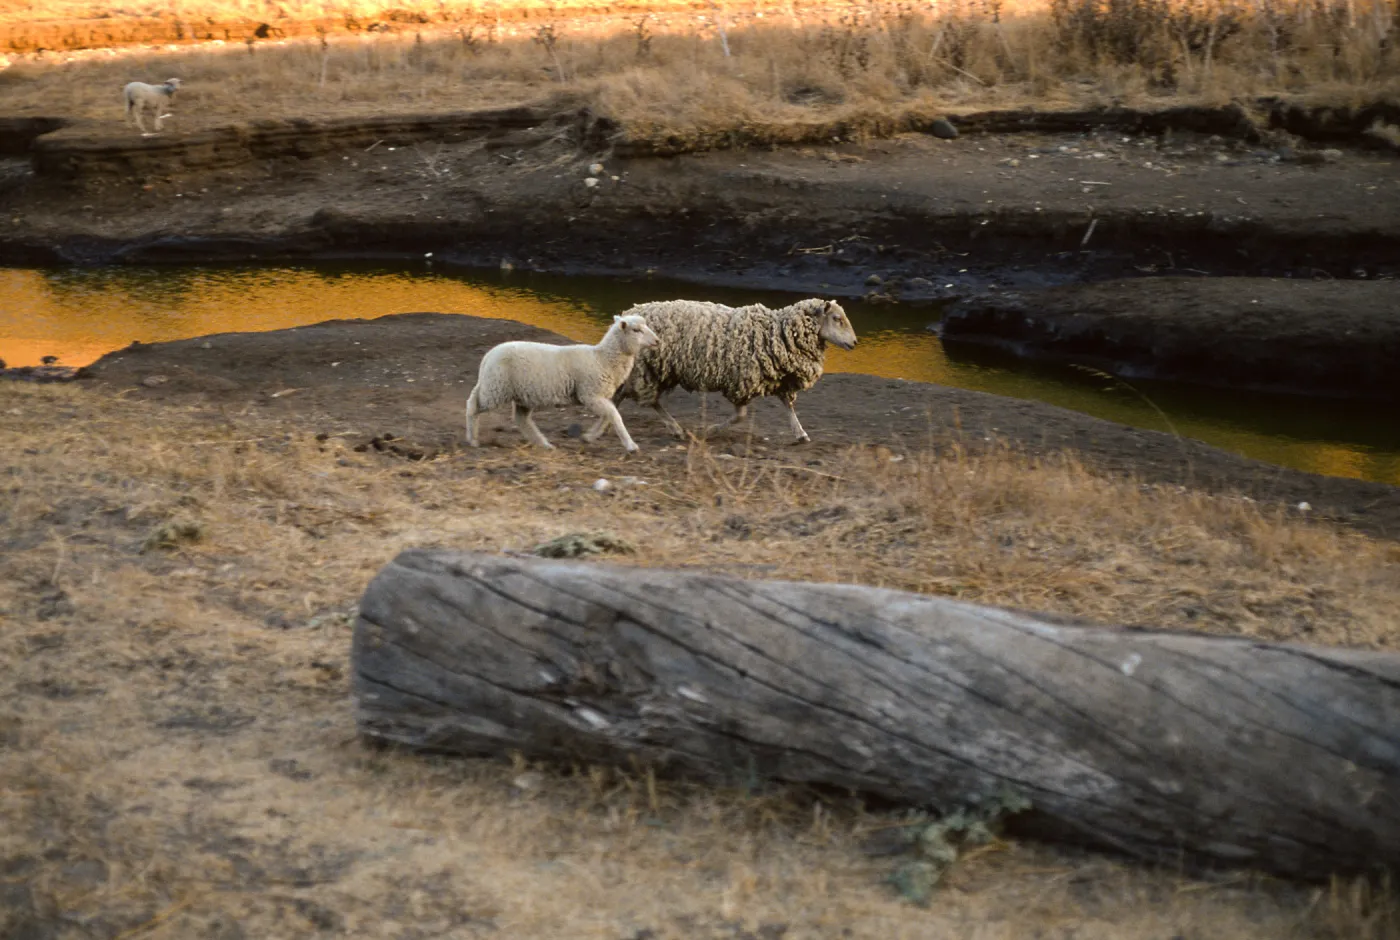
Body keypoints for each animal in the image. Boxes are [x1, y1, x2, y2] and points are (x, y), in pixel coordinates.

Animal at [466, 314, 660, 453]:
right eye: (636, 330)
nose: (657, 341)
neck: (602, 359)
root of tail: (488, 356)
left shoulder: (599, 396)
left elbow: (609, 415)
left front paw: (590, 436)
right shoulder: (590, 394)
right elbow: (614, 415)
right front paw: (631, 446)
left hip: (519, 394)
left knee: (521, 419)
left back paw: (544, 444)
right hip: (496, 388)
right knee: (473, 405)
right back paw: (472, 439)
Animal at [594, 298, 857, 444]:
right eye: (837, 318)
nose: (854, 343)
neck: (777, 331)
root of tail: (625, 315)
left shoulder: (779, 378)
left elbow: (788, 407)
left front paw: (800, 434)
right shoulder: (742, 382)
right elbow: (741, 416)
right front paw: (710, 430)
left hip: (658, 370)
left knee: (642, 399)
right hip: (645, 370)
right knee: (635, 398)